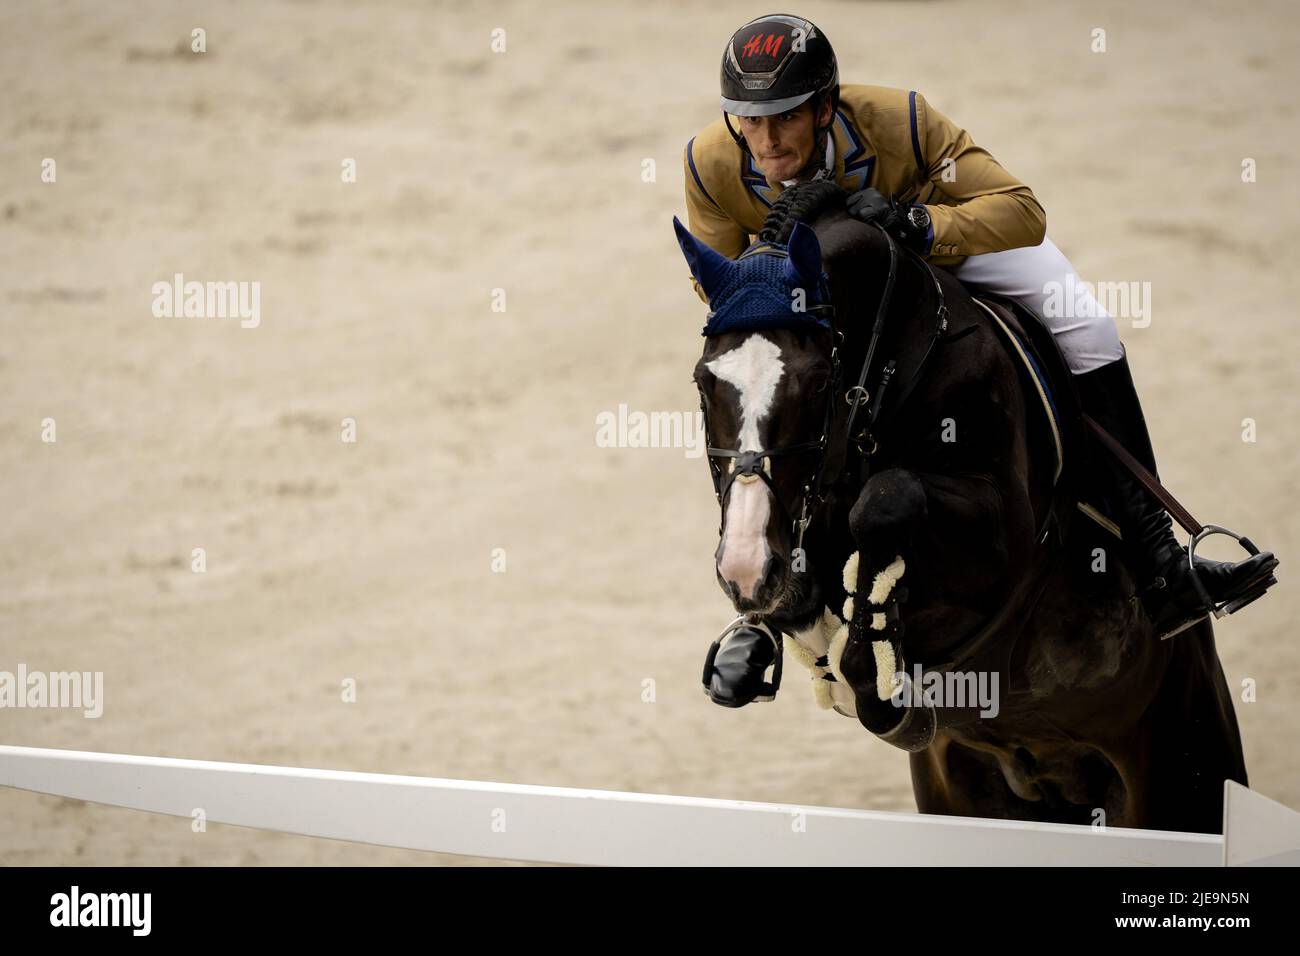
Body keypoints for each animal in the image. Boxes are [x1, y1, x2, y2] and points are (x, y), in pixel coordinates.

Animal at [676, 180, 1242, 837]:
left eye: (817, 383)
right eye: (703, 382)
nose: (744, 567)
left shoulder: (1003, 546)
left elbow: (888, 501)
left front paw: (874, 671)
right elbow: (817, 577)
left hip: (1181, 775)